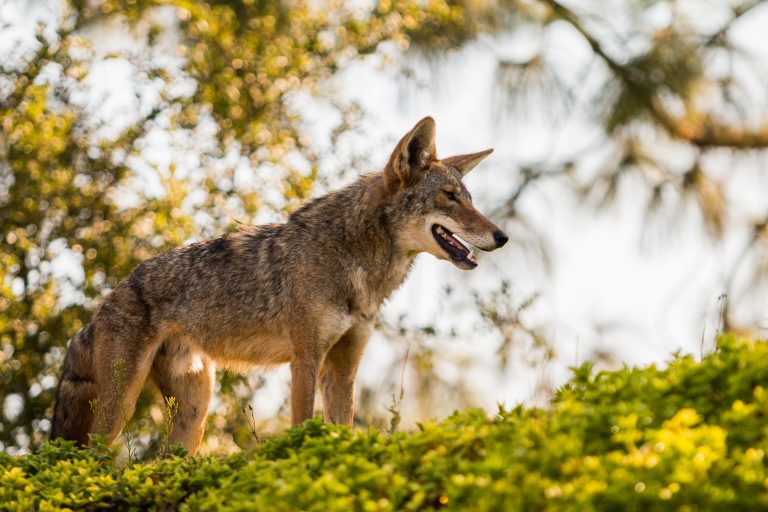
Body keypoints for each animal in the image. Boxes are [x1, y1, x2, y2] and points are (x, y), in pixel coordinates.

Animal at [50, 116, 508, 455]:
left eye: (468, 199)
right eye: (449, 196)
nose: (502, 236)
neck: (355, 262)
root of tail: (103, 304)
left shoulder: (343, 369)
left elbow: (345, 430)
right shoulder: (305, 359)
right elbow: (303, 424)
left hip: (195, 412)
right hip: (120, 409)